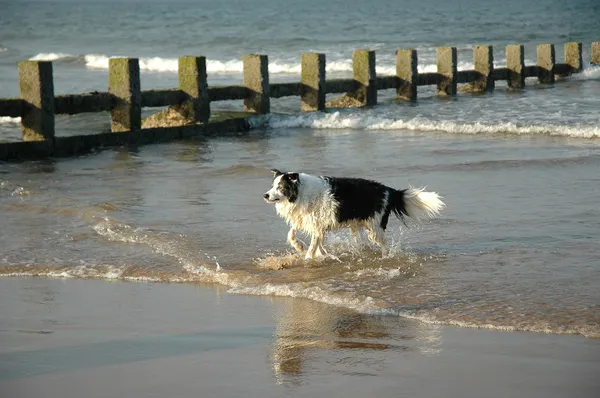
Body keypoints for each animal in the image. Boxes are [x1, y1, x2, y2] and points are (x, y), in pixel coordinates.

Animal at [262, 169, 446, 260]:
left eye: (280, 187)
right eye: (272, 186)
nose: (265, 195)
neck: (300, 192)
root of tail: (389, 190)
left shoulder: (317, 224)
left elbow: (313, 245)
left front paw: (308, 258)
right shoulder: (308, 220)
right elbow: (292, 233)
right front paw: (301, 247)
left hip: (375, 226)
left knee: (384, 245)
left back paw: (385, 258)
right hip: (358, 225)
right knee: (361, 242)